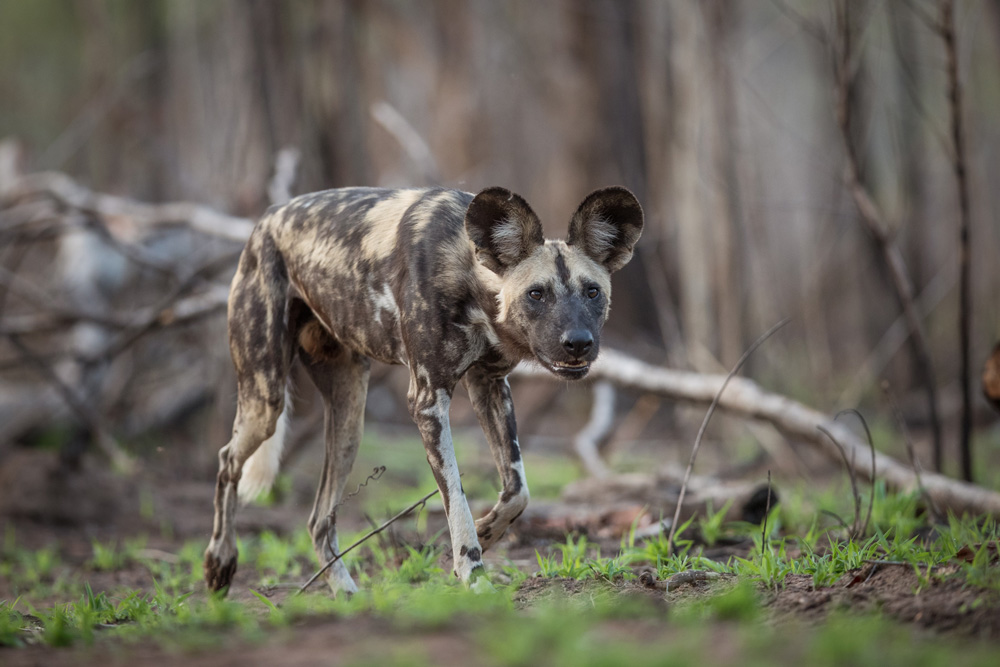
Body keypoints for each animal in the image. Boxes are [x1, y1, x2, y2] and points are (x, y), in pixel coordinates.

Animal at [205, 184, 640, 596]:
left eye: (592, 292)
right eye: (537, 294)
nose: (578, 343)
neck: (470, 276)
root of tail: (267, 219)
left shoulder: (489, 386)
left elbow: (518, 490)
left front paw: (487, 533)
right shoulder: (429, 403)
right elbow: (457, 500)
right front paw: (472, 572)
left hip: (349, 420)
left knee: (318, 520)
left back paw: (346, 592)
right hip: (266, 400)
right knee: (227, 459)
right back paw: (219, 562)